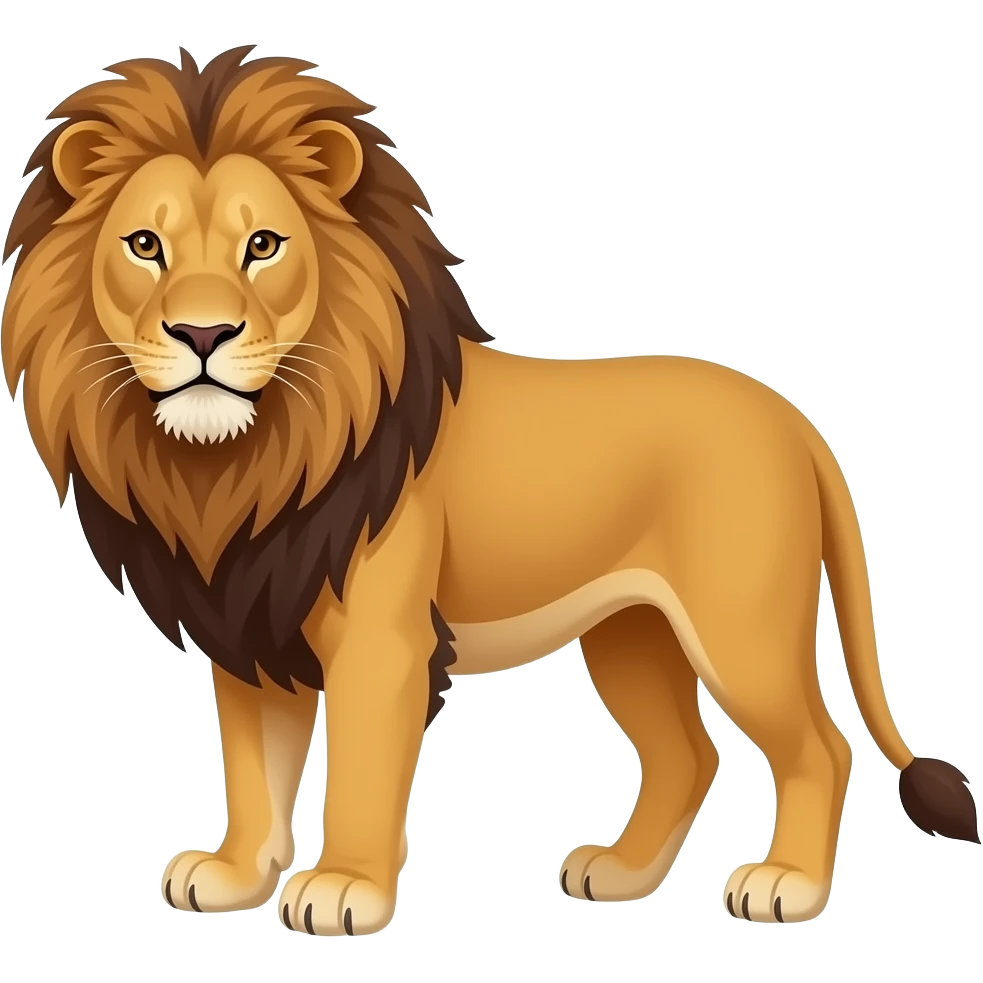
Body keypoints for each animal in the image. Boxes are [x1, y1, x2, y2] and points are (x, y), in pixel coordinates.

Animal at [1, 45, 978, 937]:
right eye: (144, 246)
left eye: (263, 246)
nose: (202, 333)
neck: (239, 460)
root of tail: (796, 423)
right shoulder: (250, 623)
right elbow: (253, 768)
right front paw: (237, 873)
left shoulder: (381, 642)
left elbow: (358, 770)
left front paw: (343, 888)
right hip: (632, 634)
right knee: (687, 755)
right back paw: (619, 874)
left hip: (740, 628)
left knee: (820, 746)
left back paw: (786, 886)